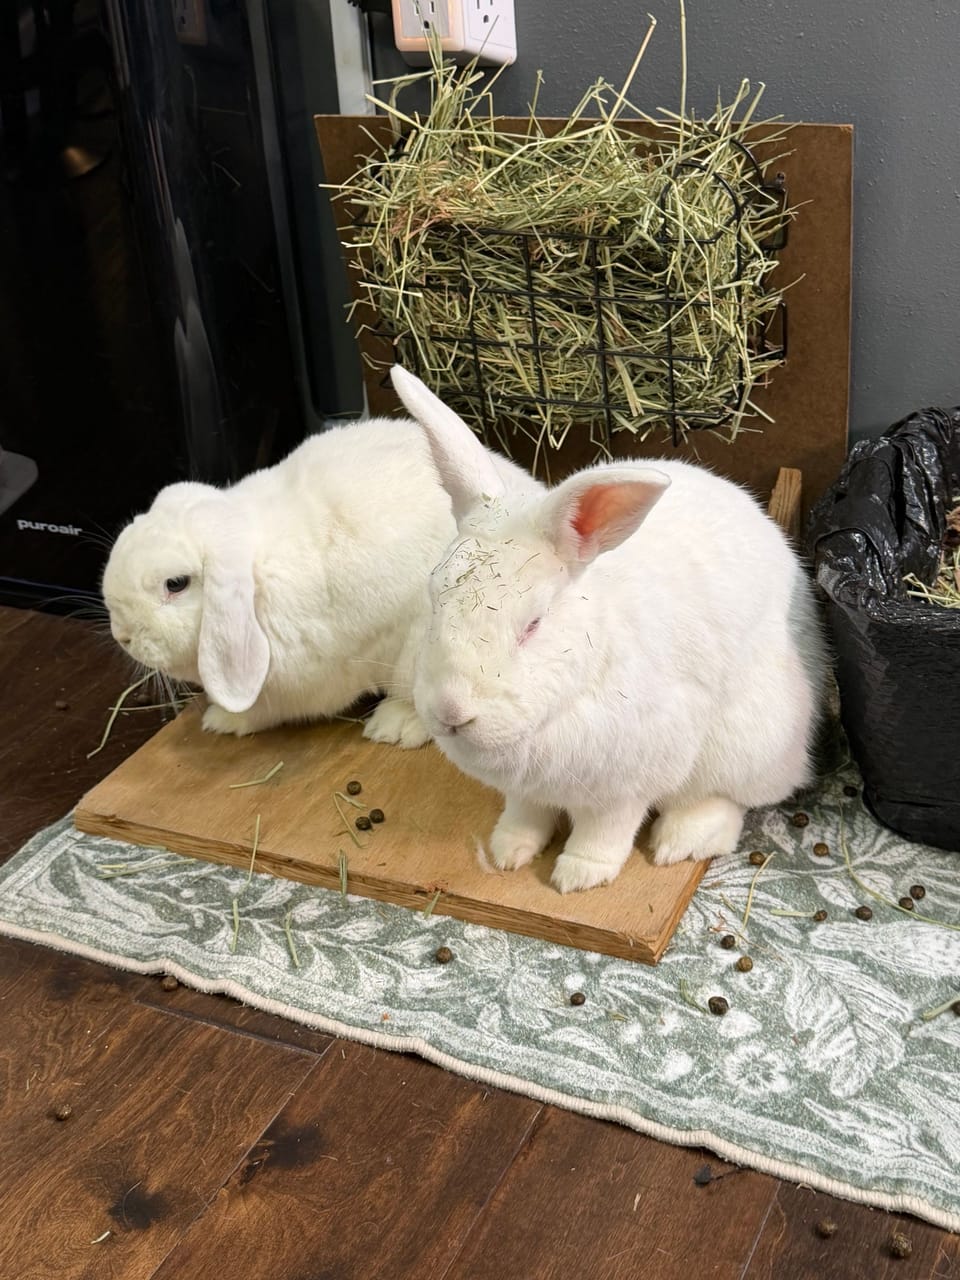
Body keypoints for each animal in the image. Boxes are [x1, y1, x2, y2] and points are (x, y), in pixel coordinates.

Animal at [390, 365, 827, 892]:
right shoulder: (525, 791)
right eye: (434, 599)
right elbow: (525, 814)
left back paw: (680, 842)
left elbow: (606, 830)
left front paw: (577, 877)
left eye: (533, 623)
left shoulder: (626, 786)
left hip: (750, 740)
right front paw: (508, 852)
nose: (451, 713)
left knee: (727, 798)